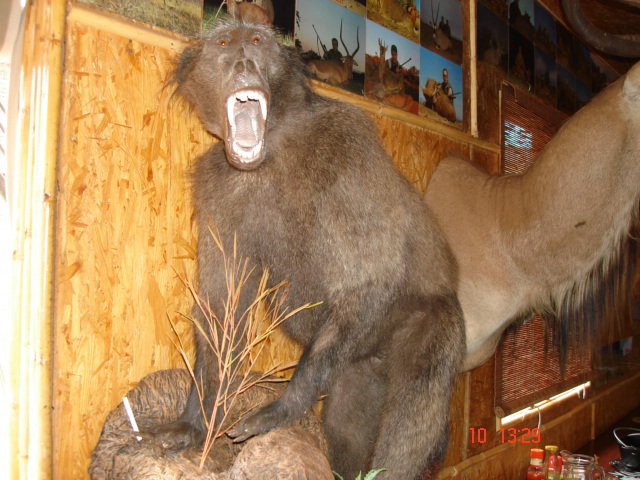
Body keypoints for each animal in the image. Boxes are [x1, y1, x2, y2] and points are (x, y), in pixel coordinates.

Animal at [154, 20, 465, 479]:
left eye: (258, 41)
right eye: (224, 43)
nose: (243, 64)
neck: (273, 148)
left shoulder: (347, 151)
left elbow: (370, 280)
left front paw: (284, 408)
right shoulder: (218, 188)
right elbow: (223, 306)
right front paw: (198, 422)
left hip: (430, 329)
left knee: (411, 419)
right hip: (357, 368)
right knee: (348, 427)